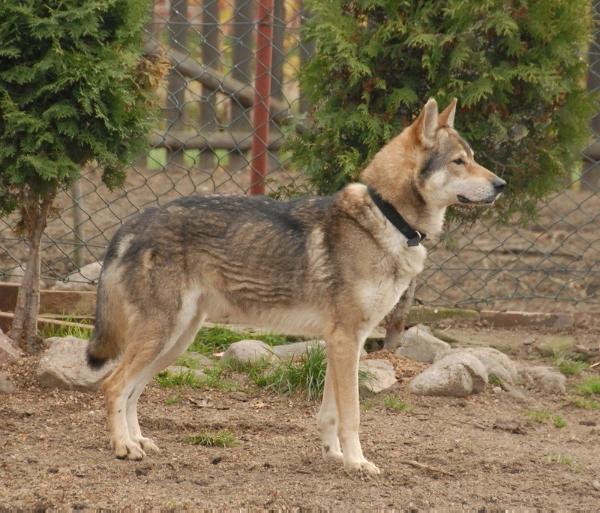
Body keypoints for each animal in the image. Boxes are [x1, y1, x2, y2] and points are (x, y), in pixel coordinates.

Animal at [86, 98, 504, 474]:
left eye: (472, 157)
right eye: (459, 161)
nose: (502, 184)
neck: (388, 217)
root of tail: (132, 221)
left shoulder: (344, 341)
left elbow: (330, 413)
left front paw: (334, 456)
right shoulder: (346, 339)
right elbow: (352, 415)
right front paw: (358, 462)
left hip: (175, 341)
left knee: (133, 390)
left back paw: (139, 440)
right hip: (163, 336)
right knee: (113, 386)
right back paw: (124, 447)